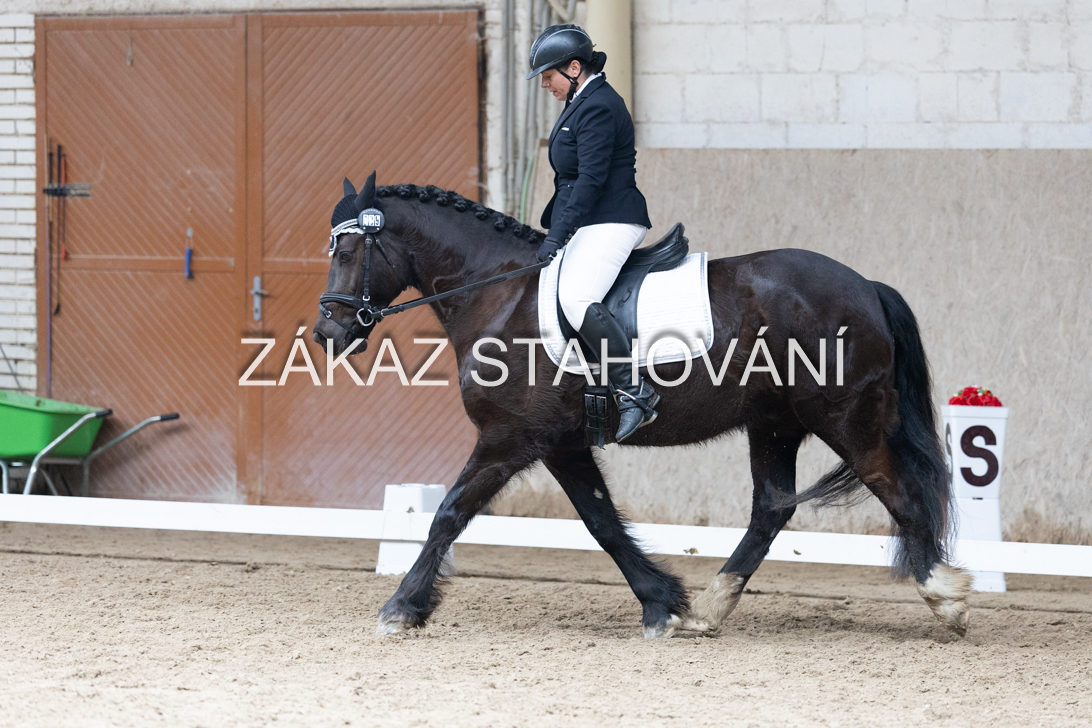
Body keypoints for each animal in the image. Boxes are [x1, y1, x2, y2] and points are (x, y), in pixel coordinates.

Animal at [312, 173, 973, 639]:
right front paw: (663, 604)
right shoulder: (562, 444)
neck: (499, 294)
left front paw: (401, 607)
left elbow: (448, 514)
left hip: (844, 419)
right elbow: (602, 522)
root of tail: (866, 287)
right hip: (774, 423)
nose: (327, 334)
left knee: (897, 490)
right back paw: (711, 607)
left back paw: (945, 597)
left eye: (347, 253)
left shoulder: (507, 439)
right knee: (771, 508)